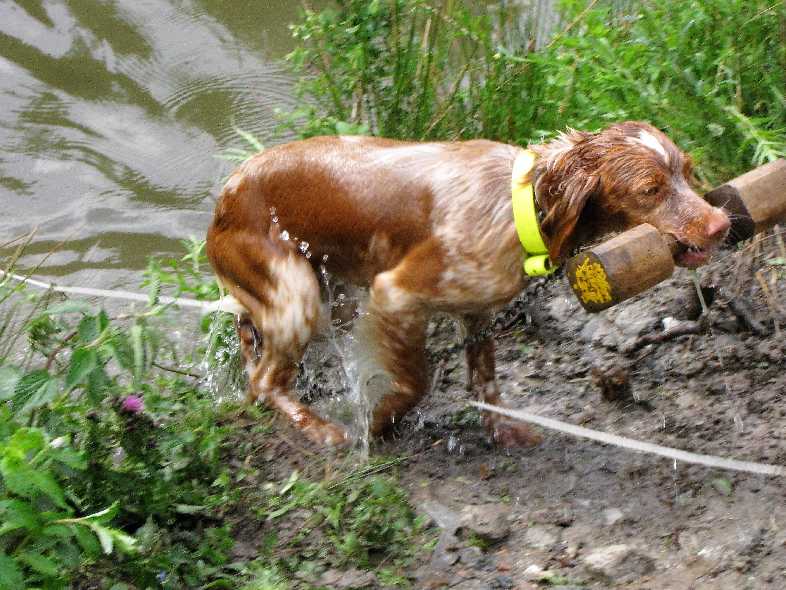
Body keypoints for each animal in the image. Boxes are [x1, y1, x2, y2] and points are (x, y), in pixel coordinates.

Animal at [206, 121, 730, 447]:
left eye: (686, 172)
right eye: (650, 191)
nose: (721, 224)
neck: (520, 206)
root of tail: (223, 201)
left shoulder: (476, 307)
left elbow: (486, 381)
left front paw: (502, 433)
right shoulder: (395, 293)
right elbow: (418, 380)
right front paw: (378, 422)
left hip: (331, 296)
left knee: (250, 337)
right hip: (299, 294)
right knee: (263, 382)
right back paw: (319, 429)